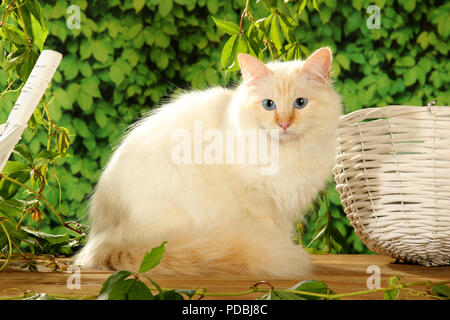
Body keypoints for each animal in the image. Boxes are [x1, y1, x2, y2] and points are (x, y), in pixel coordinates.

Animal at [74, 47, 342, 278]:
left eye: (300, 103)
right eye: (269, 105)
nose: (284, 124)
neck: (288, 153)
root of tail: (102, 240)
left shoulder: (285, 207)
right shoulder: (259, 201)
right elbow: (273, 234)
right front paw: (283, 254)